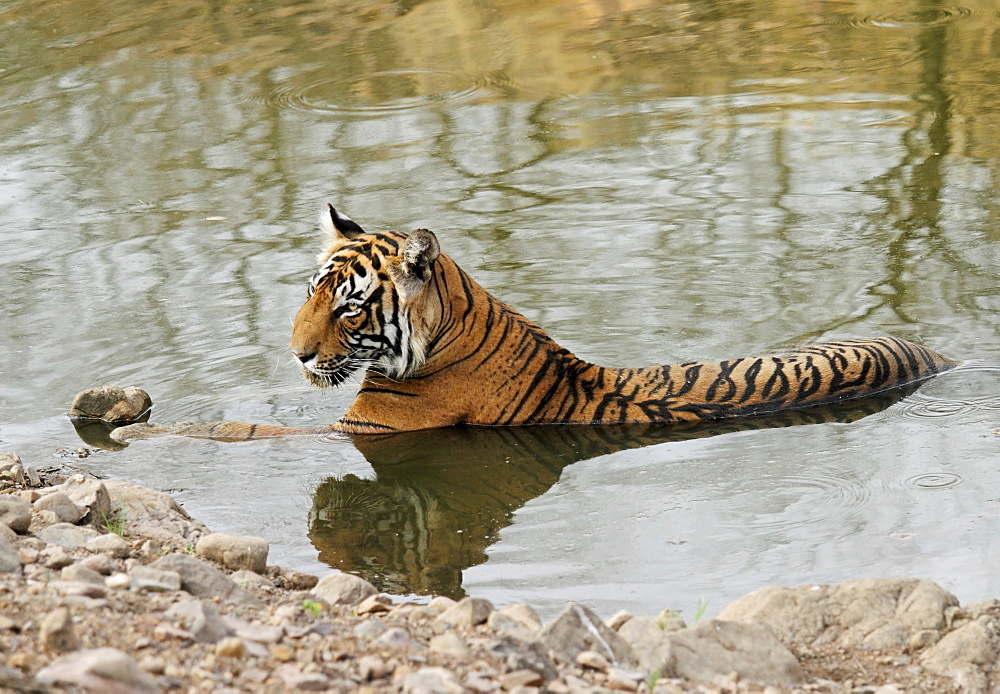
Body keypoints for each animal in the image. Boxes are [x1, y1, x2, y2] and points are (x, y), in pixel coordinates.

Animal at [107, 203, 952, 440]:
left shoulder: (366, 429)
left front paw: (123, 422)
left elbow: (235, 432)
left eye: (348, 305)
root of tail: (938, 354)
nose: (297, 357)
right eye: (310, 294)